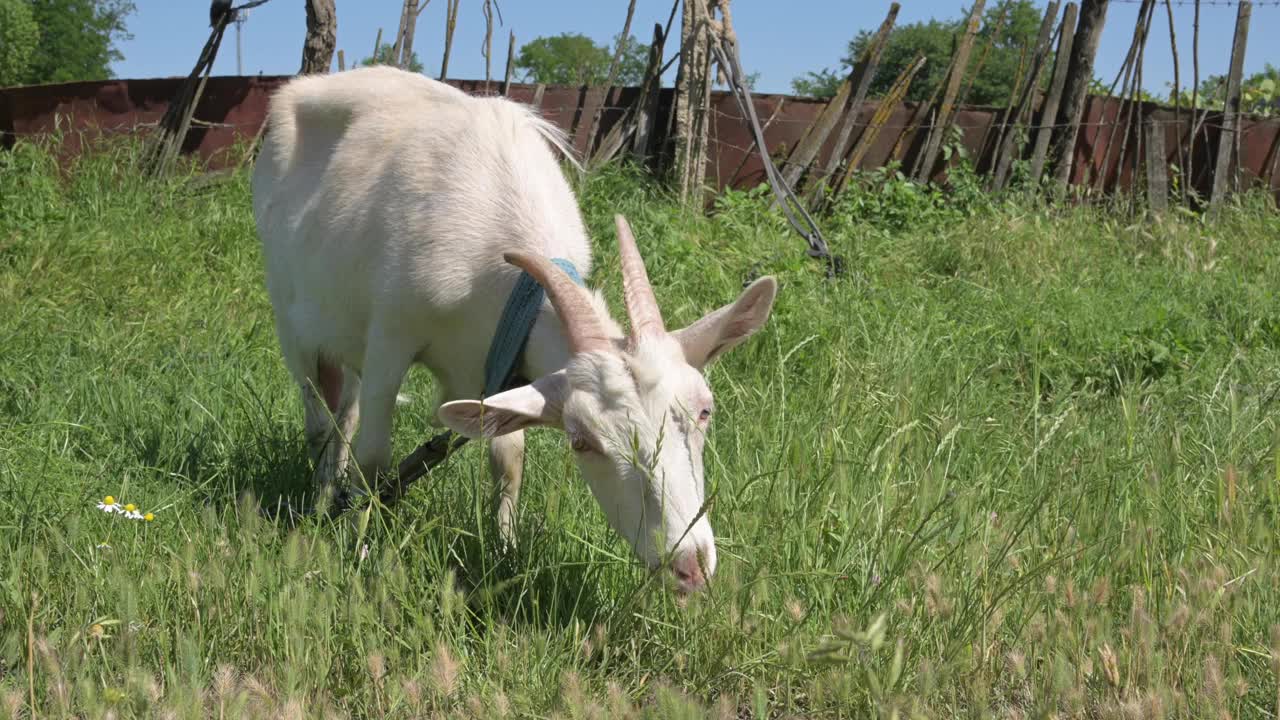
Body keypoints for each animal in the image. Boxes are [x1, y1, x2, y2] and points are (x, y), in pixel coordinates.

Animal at [245, 67, 773, 591]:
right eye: (582, 441)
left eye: (705, 411)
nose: (690, 566)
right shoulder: (391, 335)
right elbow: (375, 458)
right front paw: (358, 549)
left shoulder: (502, 362)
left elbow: (508, 458)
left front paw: (504, 549)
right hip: (289, 313)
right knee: (320, 414)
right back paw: (321, 499)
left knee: (345, 412)